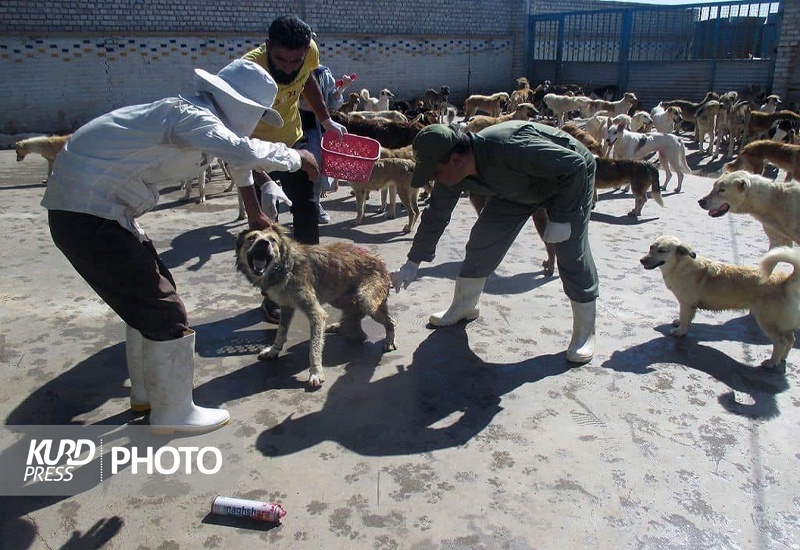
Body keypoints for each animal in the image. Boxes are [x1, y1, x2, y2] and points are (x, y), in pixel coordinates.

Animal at [238, 226, 400, 390]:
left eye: (272, 240)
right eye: (251, 238)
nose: (263, 243)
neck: (286, 266)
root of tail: (381, 262)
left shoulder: (316, 313)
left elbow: (313, 347)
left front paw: (315, 373)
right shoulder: (286, 307)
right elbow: (280, 333)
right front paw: (273, 350)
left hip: (366, 300)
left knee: (390, 321)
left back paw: (388, 340)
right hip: (338, 297)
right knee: (354, 315)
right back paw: (340, 327)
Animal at [640, 235, 800, 374]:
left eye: (662, 250)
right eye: (651, 247)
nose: (642, 260)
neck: (681, 265)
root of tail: (785, 281)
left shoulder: (687, 304)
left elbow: (685, 320)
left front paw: (680, 332)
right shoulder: (688, 306)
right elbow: (685, 318)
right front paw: (679, 323)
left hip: (767, 321)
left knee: (781, 342)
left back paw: (772, 362)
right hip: (782, 323)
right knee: (790, 339)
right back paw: (782, 358)